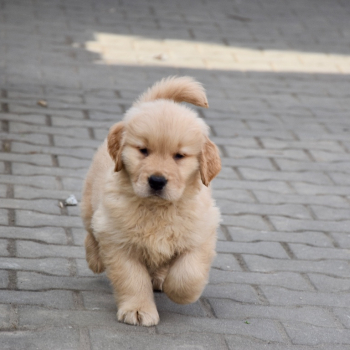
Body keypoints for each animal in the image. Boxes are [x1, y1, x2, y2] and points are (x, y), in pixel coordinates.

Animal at [80, 76, 220, 326]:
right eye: (143, 150)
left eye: (179, 156)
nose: (156, 180)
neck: (157, 208)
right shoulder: (118, 241)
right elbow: (132, 279)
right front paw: (138, 309)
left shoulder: (201, 233)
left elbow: (188, 275)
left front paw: (178, 291)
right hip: (91, 204)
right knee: (91, 232)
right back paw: (95, 258)